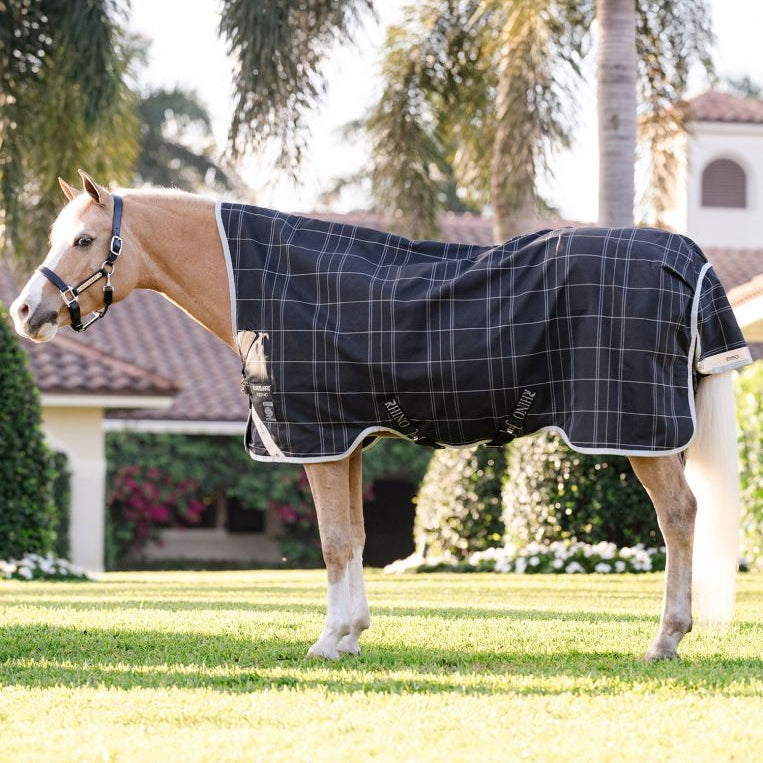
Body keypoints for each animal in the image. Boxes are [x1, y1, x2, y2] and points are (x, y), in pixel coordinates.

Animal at [10, 170, 749, 661]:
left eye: (84, 240)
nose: (24, 311)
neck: (265, 284)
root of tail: (685, 257)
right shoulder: (350, 441)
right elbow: (357, 537)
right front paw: (351, 634)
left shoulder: (315, 439)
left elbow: (334, 541)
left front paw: (328, 641)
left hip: (639, 431)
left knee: (678, 515)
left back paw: (665, 639)